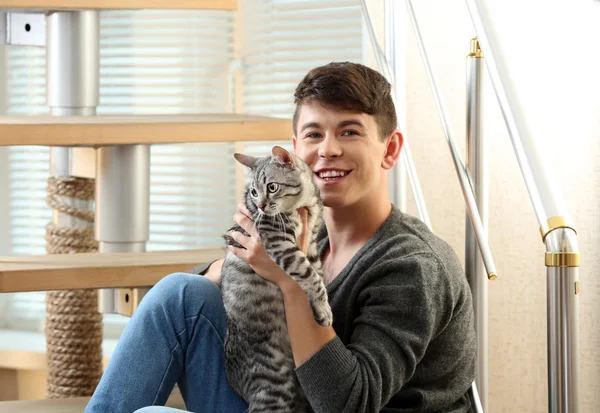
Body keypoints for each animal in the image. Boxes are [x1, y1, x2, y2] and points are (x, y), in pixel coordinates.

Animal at [221, 146, 332, 412]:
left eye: (272, 187)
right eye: (253, 192)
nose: (261, 206)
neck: (306, 206)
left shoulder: (312, 245)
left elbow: (317, 274)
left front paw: (321, 307)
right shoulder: (280, 242)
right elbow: (310, 276)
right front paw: (324, 308)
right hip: (275, 384)